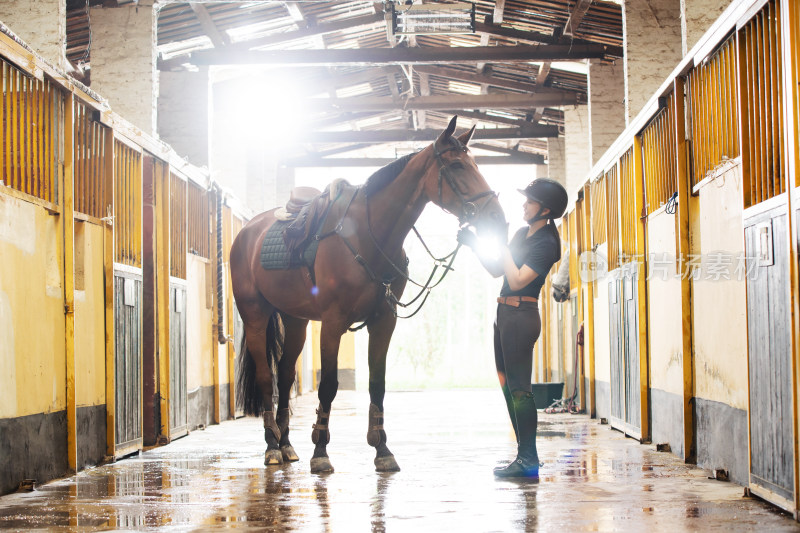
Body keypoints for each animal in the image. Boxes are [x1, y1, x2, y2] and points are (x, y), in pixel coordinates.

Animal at [231, 117, 506, 474]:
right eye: (457, 165)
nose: (497, 218)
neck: (368, 235)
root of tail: (248, 232)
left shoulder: (383, 320)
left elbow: (378, 383)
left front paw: (382, 449)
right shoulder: (333, 323)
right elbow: (328, 386)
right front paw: (320, 451)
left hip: (295, 321)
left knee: (285, 375)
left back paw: (287, 445)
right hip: (255, 316)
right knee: (267, 378)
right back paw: (271, 448)